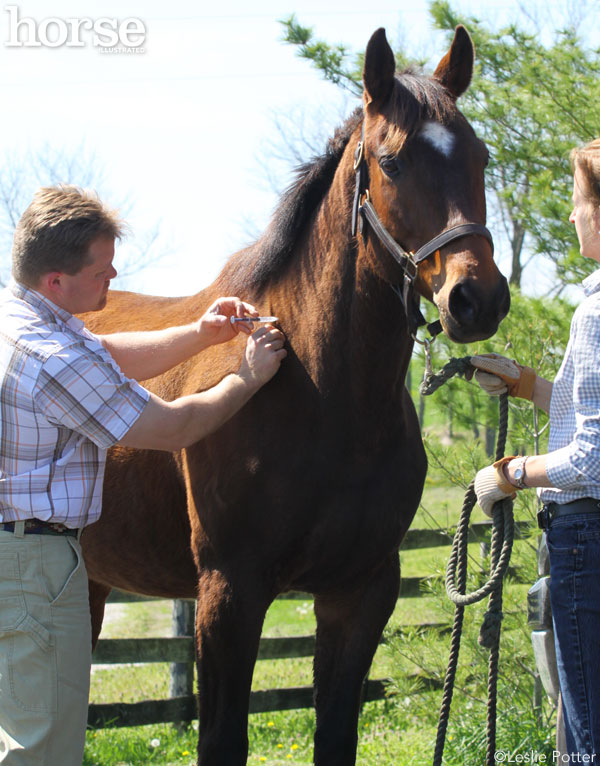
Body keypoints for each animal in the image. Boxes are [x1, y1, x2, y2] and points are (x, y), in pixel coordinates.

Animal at [79, 25, 510, 766]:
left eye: (480, 156)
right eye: (392, 162)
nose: (476, 298)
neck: (324, 397)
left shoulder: (361, 592)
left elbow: (335, 734)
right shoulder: (229, 593)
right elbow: (222, 740)